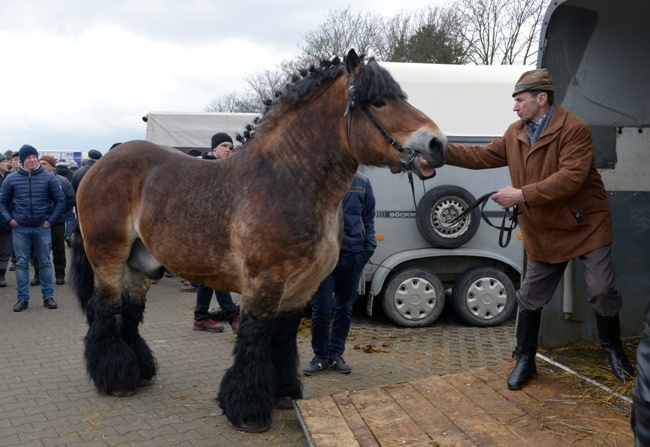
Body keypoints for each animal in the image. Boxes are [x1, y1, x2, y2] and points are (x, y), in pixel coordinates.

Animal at [71, 50, 446, 434]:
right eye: (379, 101)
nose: (437, 144)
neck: (286, 178)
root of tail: (98, 168)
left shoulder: (299, 289)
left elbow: (283, 338)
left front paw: (284, 392)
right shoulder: (264, 282)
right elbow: (255, 338)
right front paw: (248, 411)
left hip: (140, 264)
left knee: (130, 312)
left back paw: (140, 372)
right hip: (108, 257)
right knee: (106, 309)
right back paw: (116, 380)